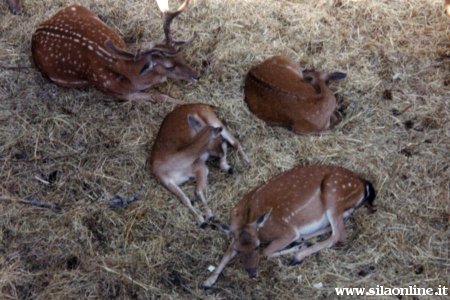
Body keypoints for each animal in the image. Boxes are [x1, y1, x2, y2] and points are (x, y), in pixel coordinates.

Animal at [31, 0, 199, 104]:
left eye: (181, 55)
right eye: (169, 66)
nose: (196, 76)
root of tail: (37, 30)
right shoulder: (115, 91)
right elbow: (158, 96)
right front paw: (186, 102)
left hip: (76, 6)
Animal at [202, 164, 374, 288]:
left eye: (256, 246)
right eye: (239, 251)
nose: (252, 273)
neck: (248, 215)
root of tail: (363, 184)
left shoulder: (287, 231)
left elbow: (266, 251)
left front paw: (295, 249)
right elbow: (227, 253)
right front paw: (207, 282)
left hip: (334, 194)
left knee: (339, 234)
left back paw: (297, 256)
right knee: (334, 229)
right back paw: (303, 241)